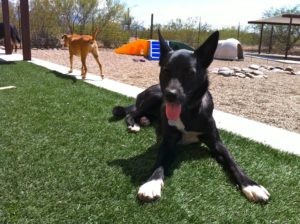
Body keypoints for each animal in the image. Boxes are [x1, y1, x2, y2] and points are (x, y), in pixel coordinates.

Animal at [112, 30, 270, 203]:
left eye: (189, 72)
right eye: (166, 71)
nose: (170, 95)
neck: (186, 112)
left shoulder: (216, 142)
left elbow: (232, 161)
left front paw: (250, 184)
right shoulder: (168, 142)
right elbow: (159, 162)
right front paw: (151, 183)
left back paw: (144, 120)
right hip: (154, 96)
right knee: (131, 113)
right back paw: (134, 124)